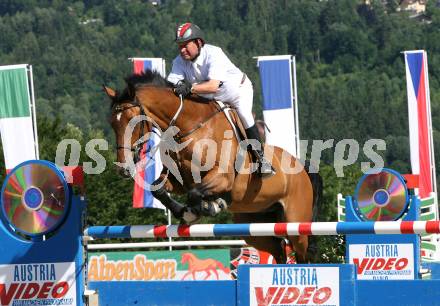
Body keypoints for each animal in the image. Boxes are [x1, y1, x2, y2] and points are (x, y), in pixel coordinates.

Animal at [104, 69, 324, 262]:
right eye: (113, 123)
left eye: (132, 121)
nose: (123, 168)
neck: (189, 127)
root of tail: (303, 170)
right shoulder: (178, 180)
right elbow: (158, 189)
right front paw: (187, 212)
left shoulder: (222, 177)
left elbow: (195, 193)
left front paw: (207, 207)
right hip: (256, 225)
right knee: (278, 251)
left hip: (295, 223)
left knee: (302, 254)